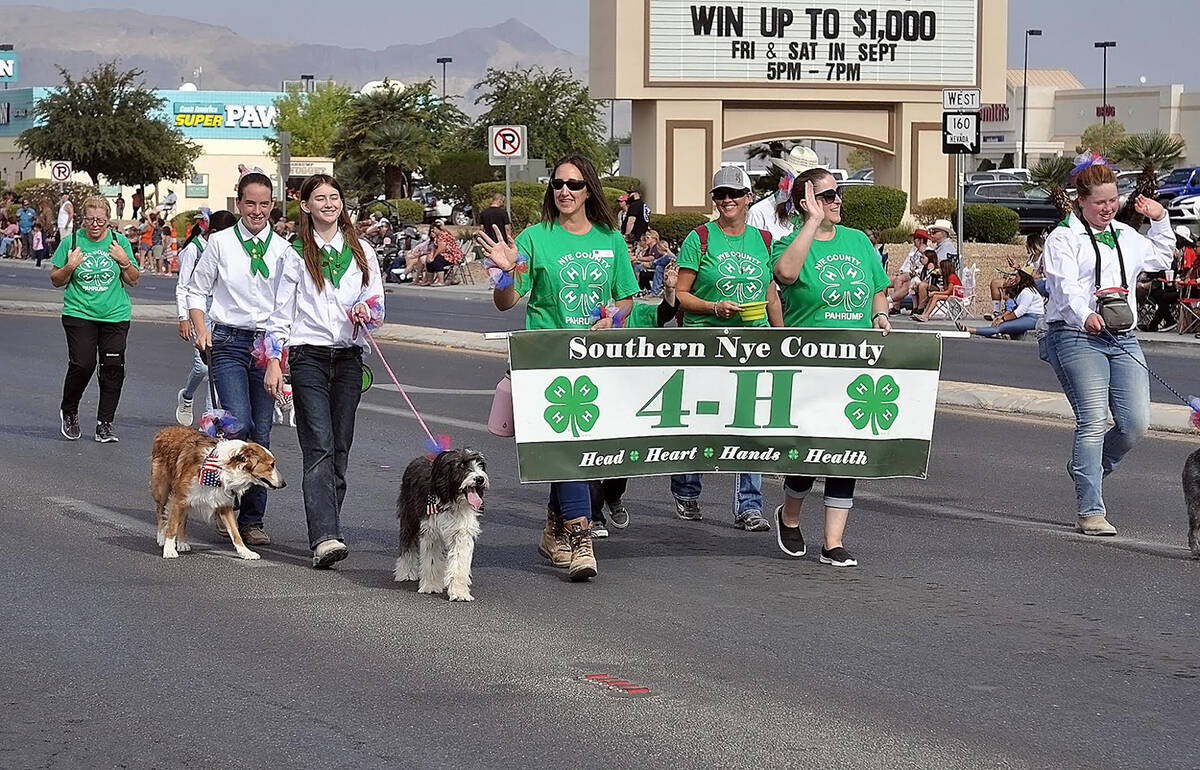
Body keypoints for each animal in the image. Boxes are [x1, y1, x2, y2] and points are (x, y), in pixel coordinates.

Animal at [149, 426, 285, 556]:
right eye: (272, 465)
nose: (284, 484)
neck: (221, 469)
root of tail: (167, 429)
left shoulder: (224, 504)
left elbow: (235, 533)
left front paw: (245, 552)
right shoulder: (179, 499)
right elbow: (172, 527)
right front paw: (169, 550)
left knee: (183, 519)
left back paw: (182, 542)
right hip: (162, 490)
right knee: (160, 511)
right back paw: (161, 537)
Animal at [393, 450, 487, 599]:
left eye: (480, 465)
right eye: (461, 465)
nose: (480, 479)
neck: (451, 502)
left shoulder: (461, 533)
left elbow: (459, 562)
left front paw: (459, 592)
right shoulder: (431, 532)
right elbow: (432, 561)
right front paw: (431, 586)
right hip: (409, 518)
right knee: (407, 543)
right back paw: (405, 572)